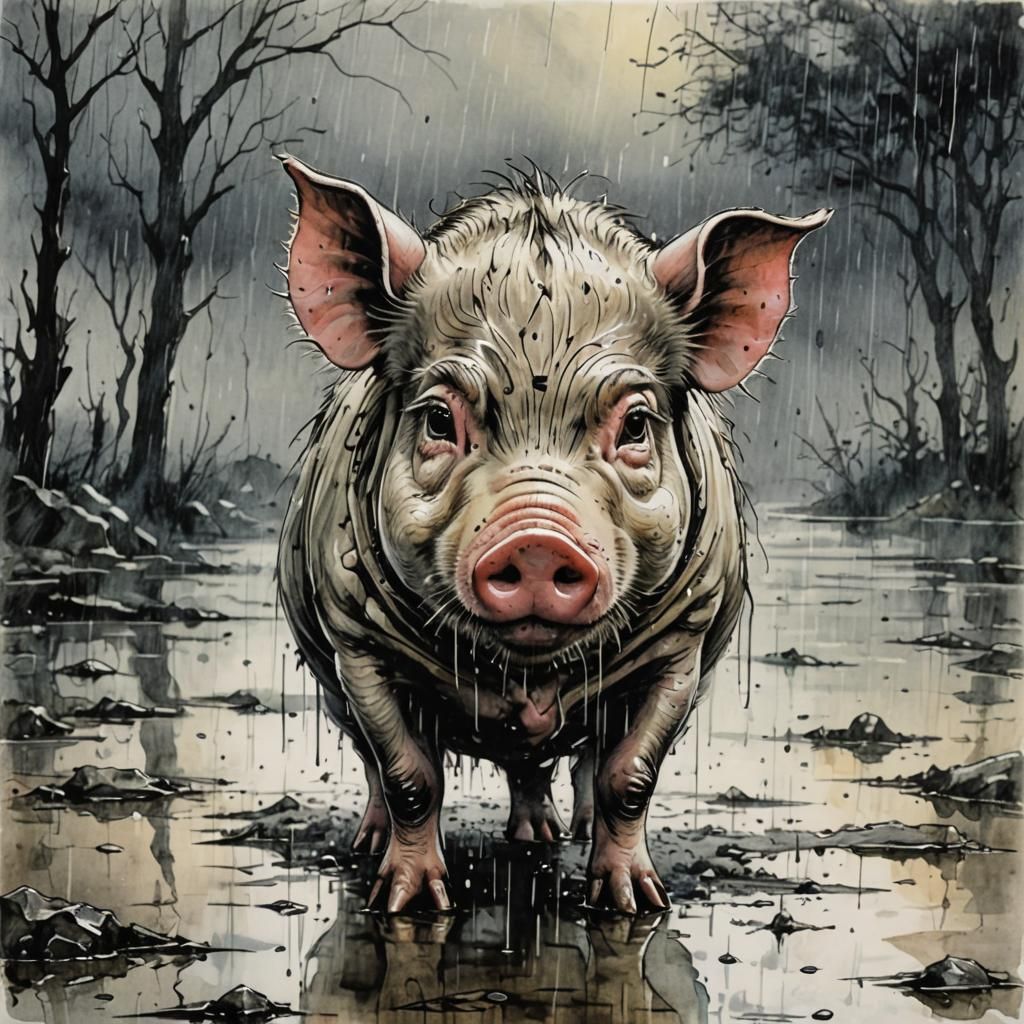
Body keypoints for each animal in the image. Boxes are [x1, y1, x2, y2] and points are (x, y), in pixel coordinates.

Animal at [277, 156, 830, 914]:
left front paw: (635, 902)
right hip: (328, 674)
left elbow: (632, 777)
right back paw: (386, 842)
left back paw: (554, 837)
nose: (538, 541)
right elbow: (408, 775)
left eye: (635, 424)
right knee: (378, 760)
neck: (527, 675)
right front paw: (410, 905)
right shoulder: (354, 637)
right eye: (439, 420)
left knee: (566, 763)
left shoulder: (684, 643)